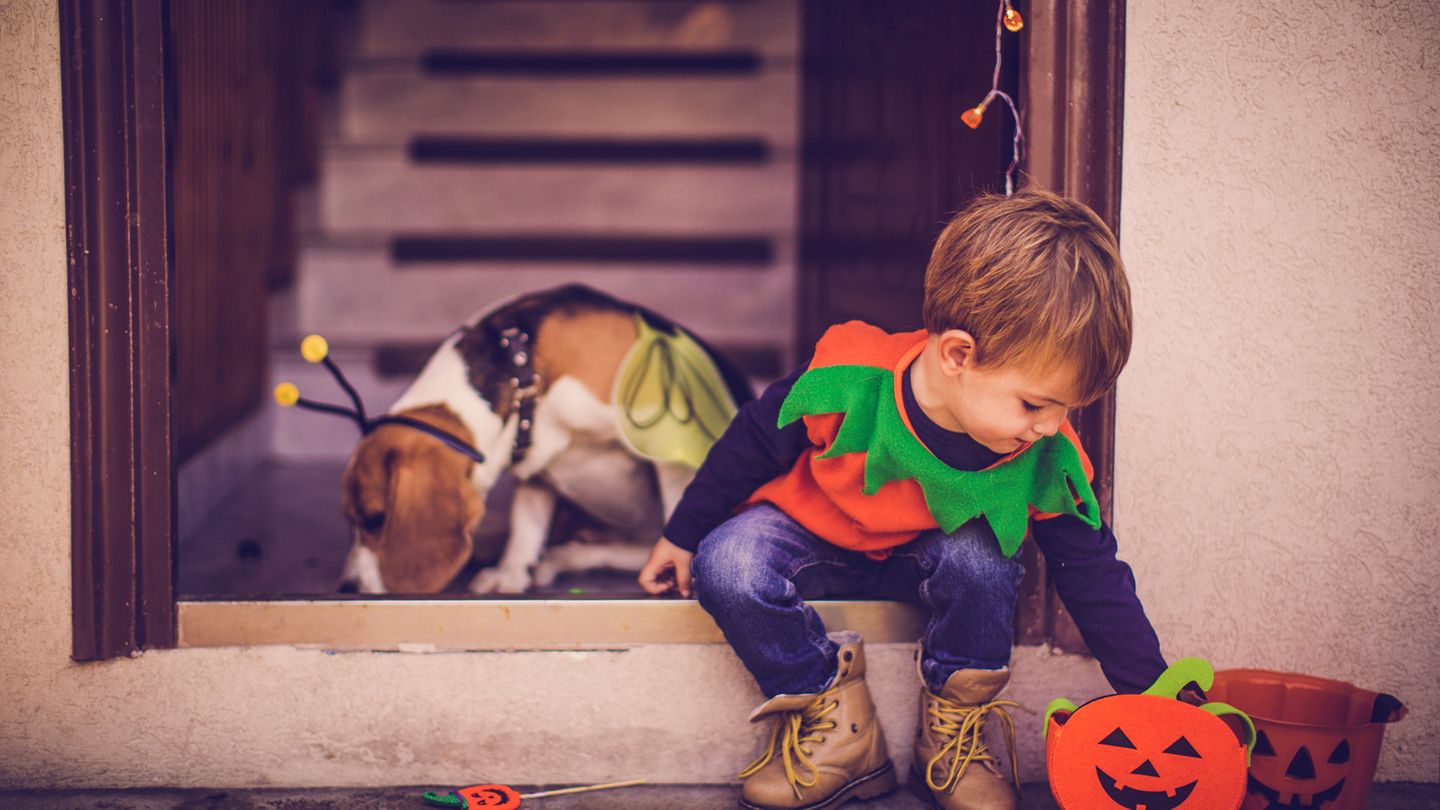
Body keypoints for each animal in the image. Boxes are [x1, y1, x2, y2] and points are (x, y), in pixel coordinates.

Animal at [335, 283, 754, 593]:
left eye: (375, 519)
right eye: (352, 519)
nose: (348, 588)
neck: (523, 366)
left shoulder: (667, 442)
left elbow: (677, 512)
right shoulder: (533, 464)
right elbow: (526, 525)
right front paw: (510, 572)